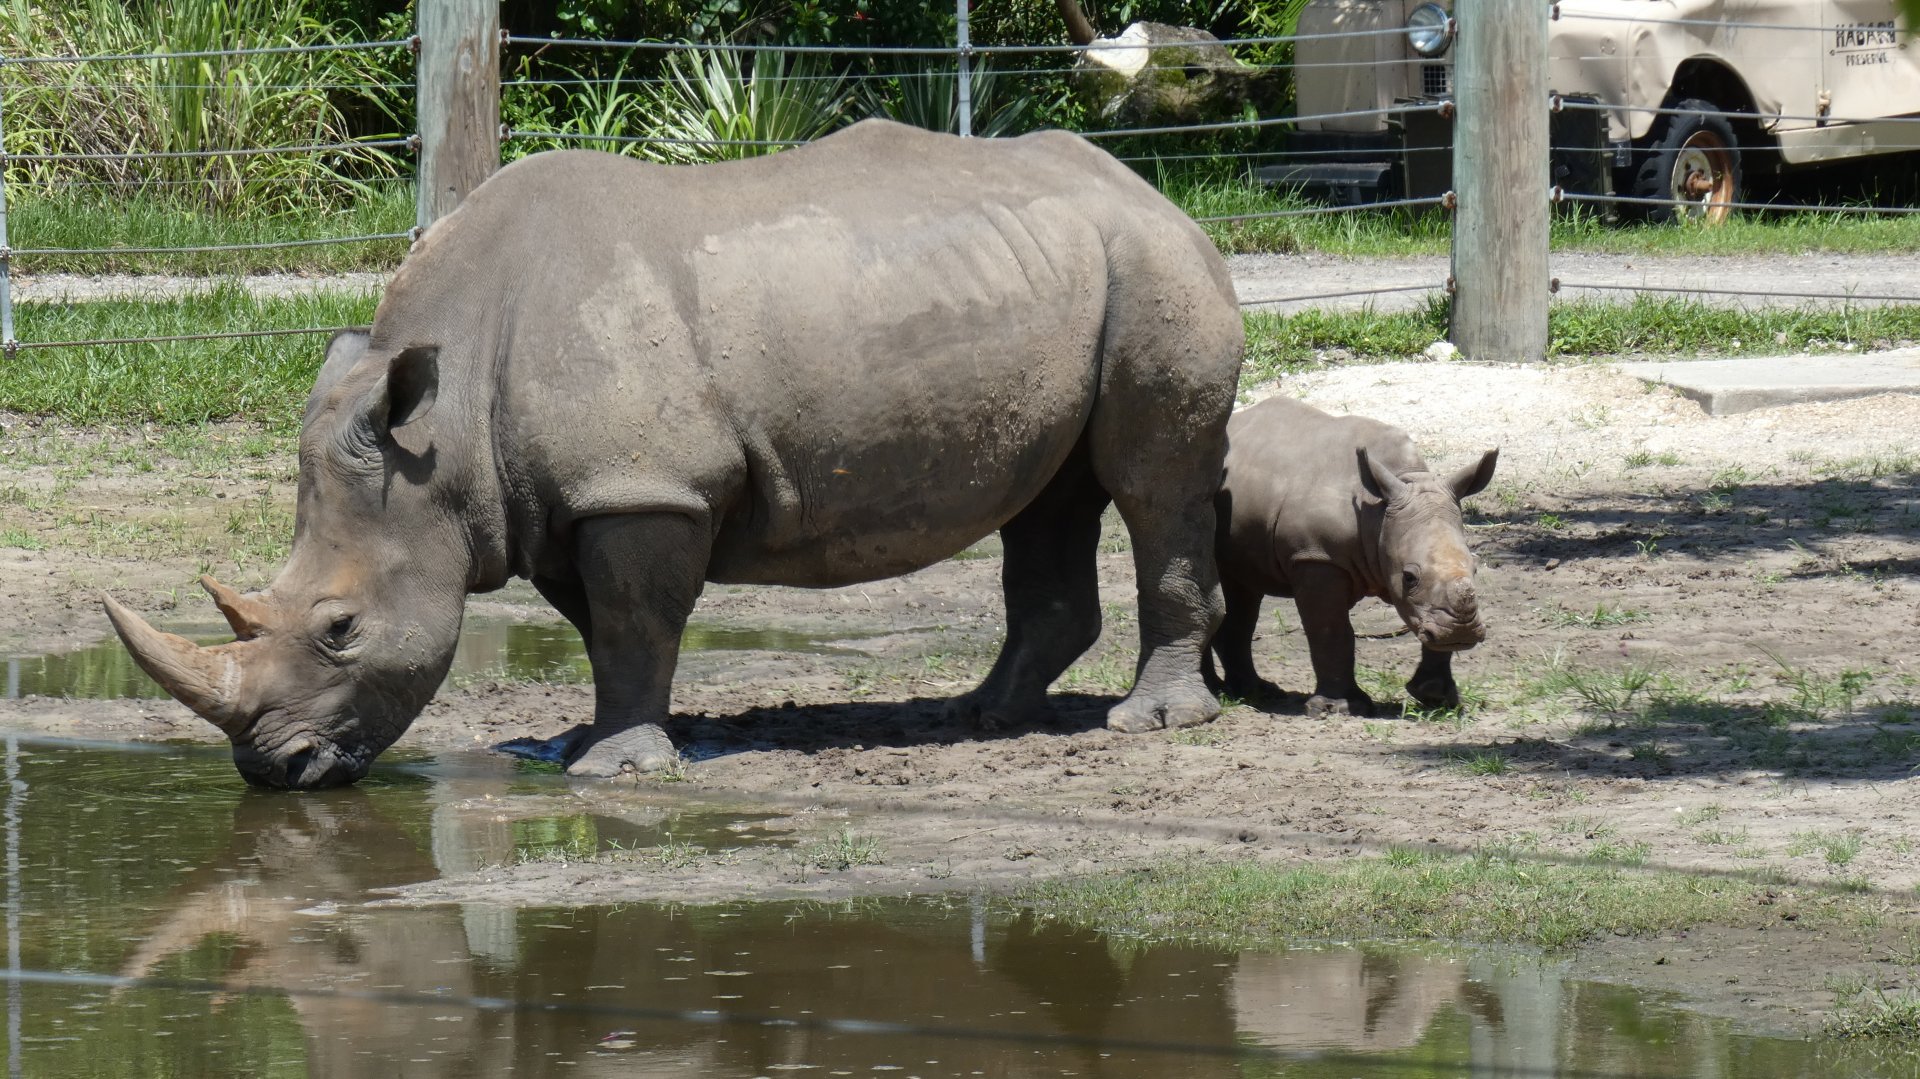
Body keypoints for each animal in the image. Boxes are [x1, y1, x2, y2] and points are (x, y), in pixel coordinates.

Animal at [103, 119, 1245, 788]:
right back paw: (980, 713)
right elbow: (604, 627)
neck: (449, 426)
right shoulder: (563, 499)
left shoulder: (645, 488)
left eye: (340, 628)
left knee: (1153, 483)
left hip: (1155, 266)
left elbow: (632, 619)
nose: (270, 768)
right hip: (1069, 271)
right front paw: (579, 745)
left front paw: (615, 772)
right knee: (1049, 496)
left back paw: (1146, 724)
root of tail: (1151, 188)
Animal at [1206, 396, 1498, 718]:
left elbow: (1428, 617)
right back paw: (1222, 692)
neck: (1379, 511)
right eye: (1409, 577)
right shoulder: (1316, 555)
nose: (1462, 632)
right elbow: (1332, 630)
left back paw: (1256, 692)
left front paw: (1437, 698)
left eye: (1475, 569)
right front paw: (1342, 708)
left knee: (1240, 595)